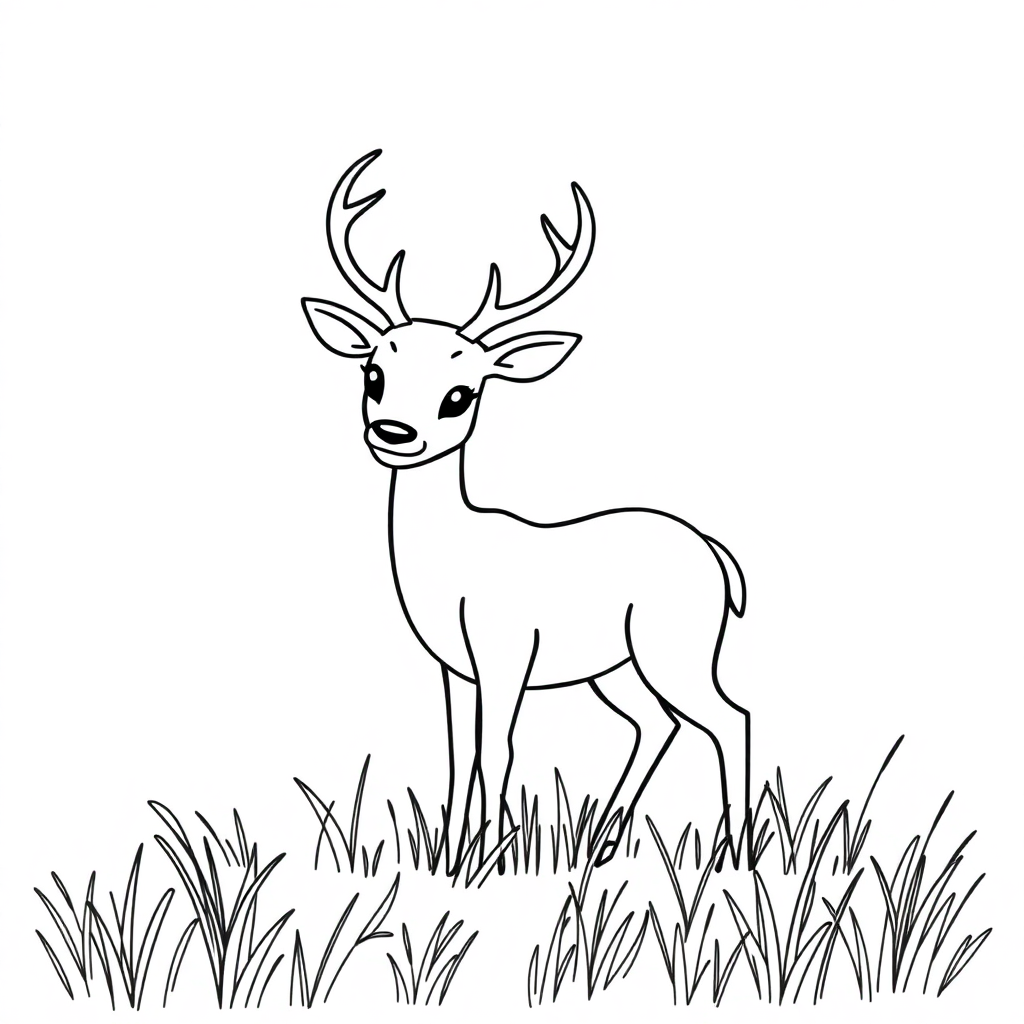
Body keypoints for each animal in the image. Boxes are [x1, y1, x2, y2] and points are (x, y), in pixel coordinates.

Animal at [302, 151, 751, 873]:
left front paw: (483, 859)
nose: (394, 433)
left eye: (460, 394)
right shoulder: (454, 668)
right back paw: (604, 843)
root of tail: (717, 555)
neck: (451, 563)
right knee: (658, 723)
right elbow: (458, 756)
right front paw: (450, 855)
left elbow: (499, 751)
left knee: (728, 718)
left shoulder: (505, 652)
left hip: (675, 645)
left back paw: (735, 856)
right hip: (616, 667)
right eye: (373, 374)